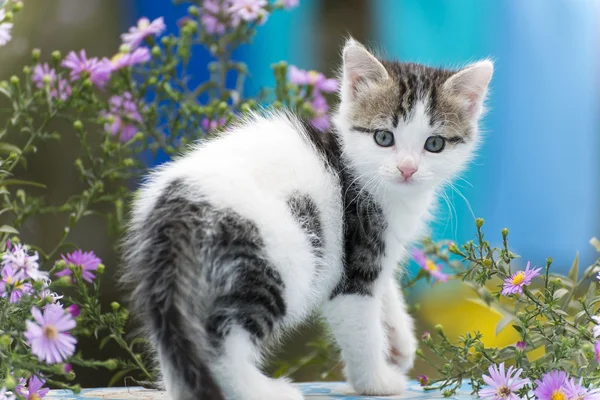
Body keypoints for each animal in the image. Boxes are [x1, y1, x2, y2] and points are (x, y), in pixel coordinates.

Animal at [122, 38, 492, 400]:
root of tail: (178, 210)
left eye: (435, 144)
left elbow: (385, 289)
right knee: (222, 339)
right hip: (275, 261)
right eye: (384, 137)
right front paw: (375, 381)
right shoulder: (354, 262)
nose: (407, 169)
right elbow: (362, 327)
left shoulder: (380, 252)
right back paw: (261, 390)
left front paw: (400, 340)